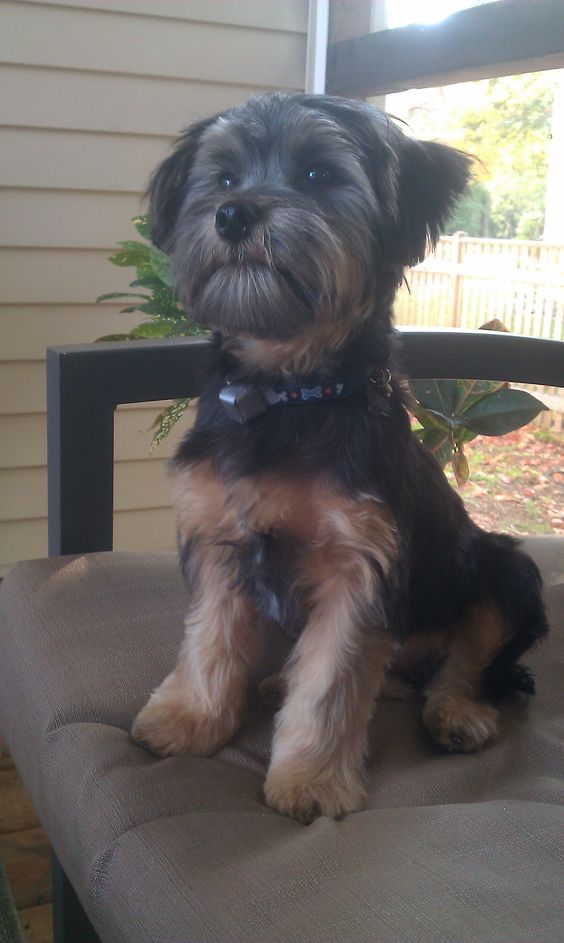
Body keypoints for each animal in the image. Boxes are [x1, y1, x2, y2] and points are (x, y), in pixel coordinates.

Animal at [131, 92, 548, 824]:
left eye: (318, 175)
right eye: (225, 177)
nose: (233, 214)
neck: (287, 390)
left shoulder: (360, 566)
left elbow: (331, 682)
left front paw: (311, 780)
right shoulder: (220, 538)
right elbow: (209, 640)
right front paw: (190, 720)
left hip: (503, 569)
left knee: (468, 662)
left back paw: (456, 714)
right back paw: (278, 678)